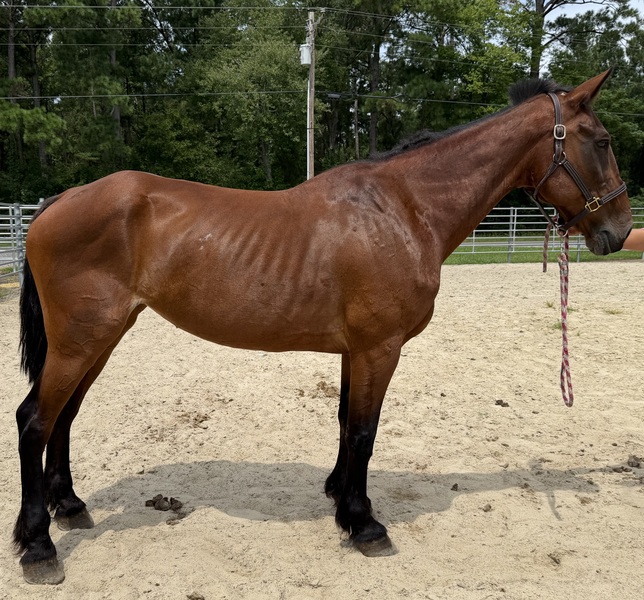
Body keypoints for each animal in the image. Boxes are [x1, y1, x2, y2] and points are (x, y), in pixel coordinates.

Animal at [13, 70, 632, 584]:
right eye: (601, 141)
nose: (620, 231)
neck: (404, 209)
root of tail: (64, 198)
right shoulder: (380, 348)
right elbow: (364, 431)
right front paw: (364, 524)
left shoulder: (353, 350)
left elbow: (344, 423)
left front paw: (338, 496)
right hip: (81, 340)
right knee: (34, 422)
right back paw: (38, 545)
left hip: (100, 339)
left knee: (64, 416)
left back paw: (69, 508)